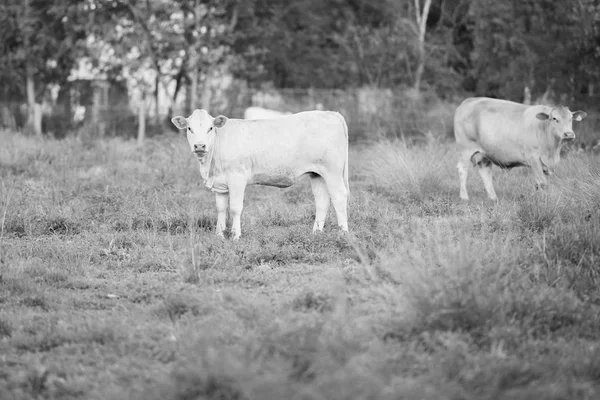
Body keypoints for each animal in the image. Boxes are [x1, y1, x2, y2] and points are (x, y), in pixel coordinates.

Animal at [169, 108, 350, 239]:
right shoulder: (220, 184)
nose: (200, 146)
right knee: (322, 201)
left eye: (210, 128)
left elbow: (235, 208)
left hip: (332, 172)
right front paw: (219, 235)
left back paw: (343, 233)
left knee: (339, 197)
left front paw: (236, 236)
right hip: (317, 173)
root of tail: (331, 113)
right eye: (190, 128)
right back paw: (316, 233)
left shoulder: (237, 178)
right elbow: (220, 209)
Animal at [454, 97, 584, 200]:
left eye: (571, 118)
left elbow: (538, 183)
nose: (568, 134)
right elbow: (542, 182)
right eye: (554, 118)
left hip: (485, 153)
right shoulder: (534, 158)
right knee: (462, 169)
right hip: (465, 149)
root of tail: (468, 101)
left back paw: (493, 198)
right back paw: (464, 197)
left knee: (485, 172)